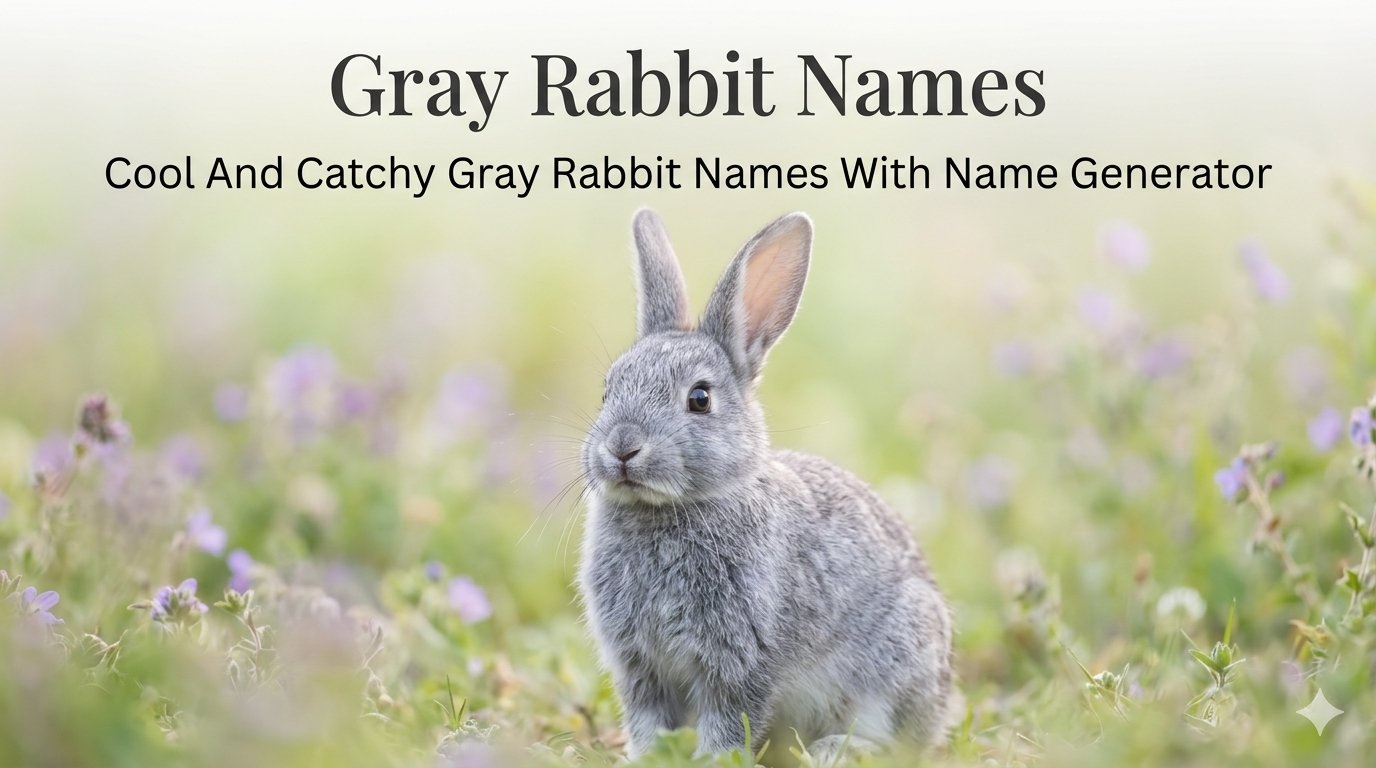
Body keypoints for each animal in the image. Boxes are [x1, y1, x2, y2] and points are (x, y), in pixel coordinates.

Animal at [578, 209, 955, 762]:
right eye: (606, 390)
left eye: (699, 398)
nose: (622, 448)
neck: (670, 508)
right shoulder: (639, 664)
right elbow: (649, 721)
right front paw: (646, 758)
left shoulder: (740, 658)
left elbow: (727, 721)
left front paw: (713, 761)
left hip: (897, 661)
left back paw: (836, 750)